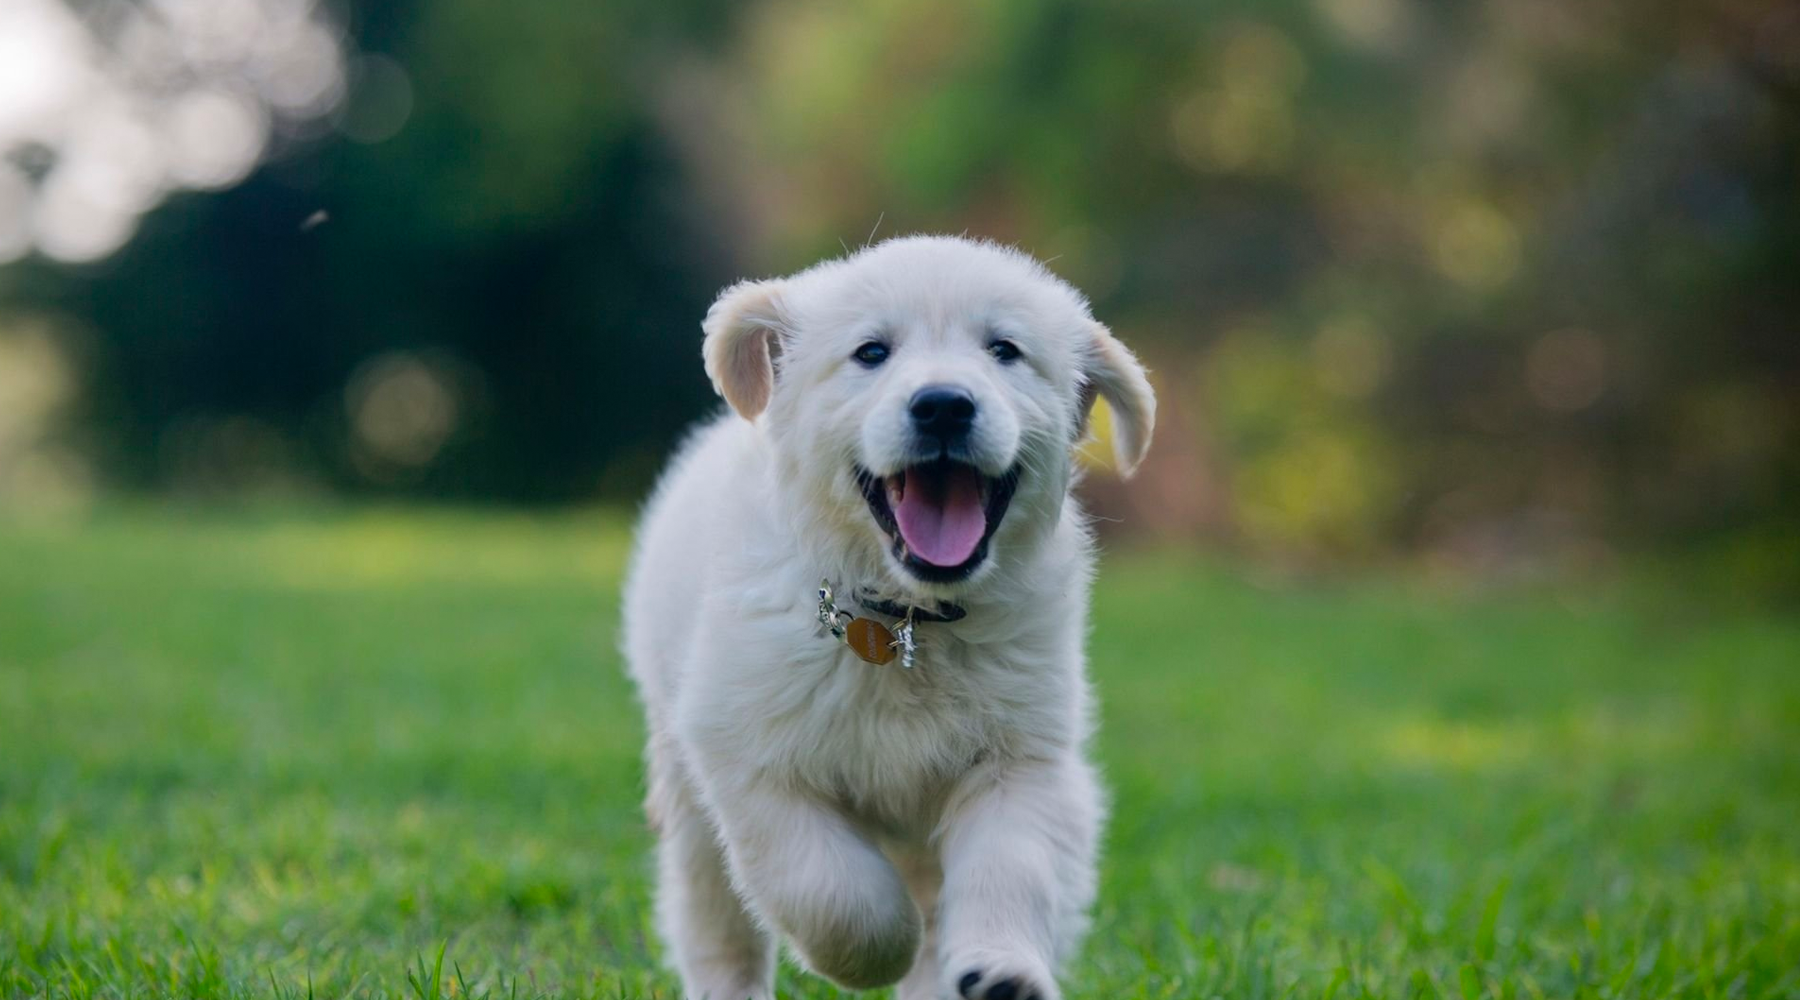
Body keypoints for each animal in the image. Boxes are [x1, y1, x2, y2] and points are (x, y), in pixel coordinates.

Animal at [619, 235, 1152, 1000]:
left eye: (1004, 350)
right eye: (872, 352)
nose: (944, 405)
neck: (906, 620)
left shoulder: (1021, 759)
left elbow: (1010, 868)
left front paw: (1002, 968)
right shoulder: (745, 754)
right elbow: (829, 886)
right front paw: (878, 949)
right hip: (687, 799)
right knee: (716, 926)